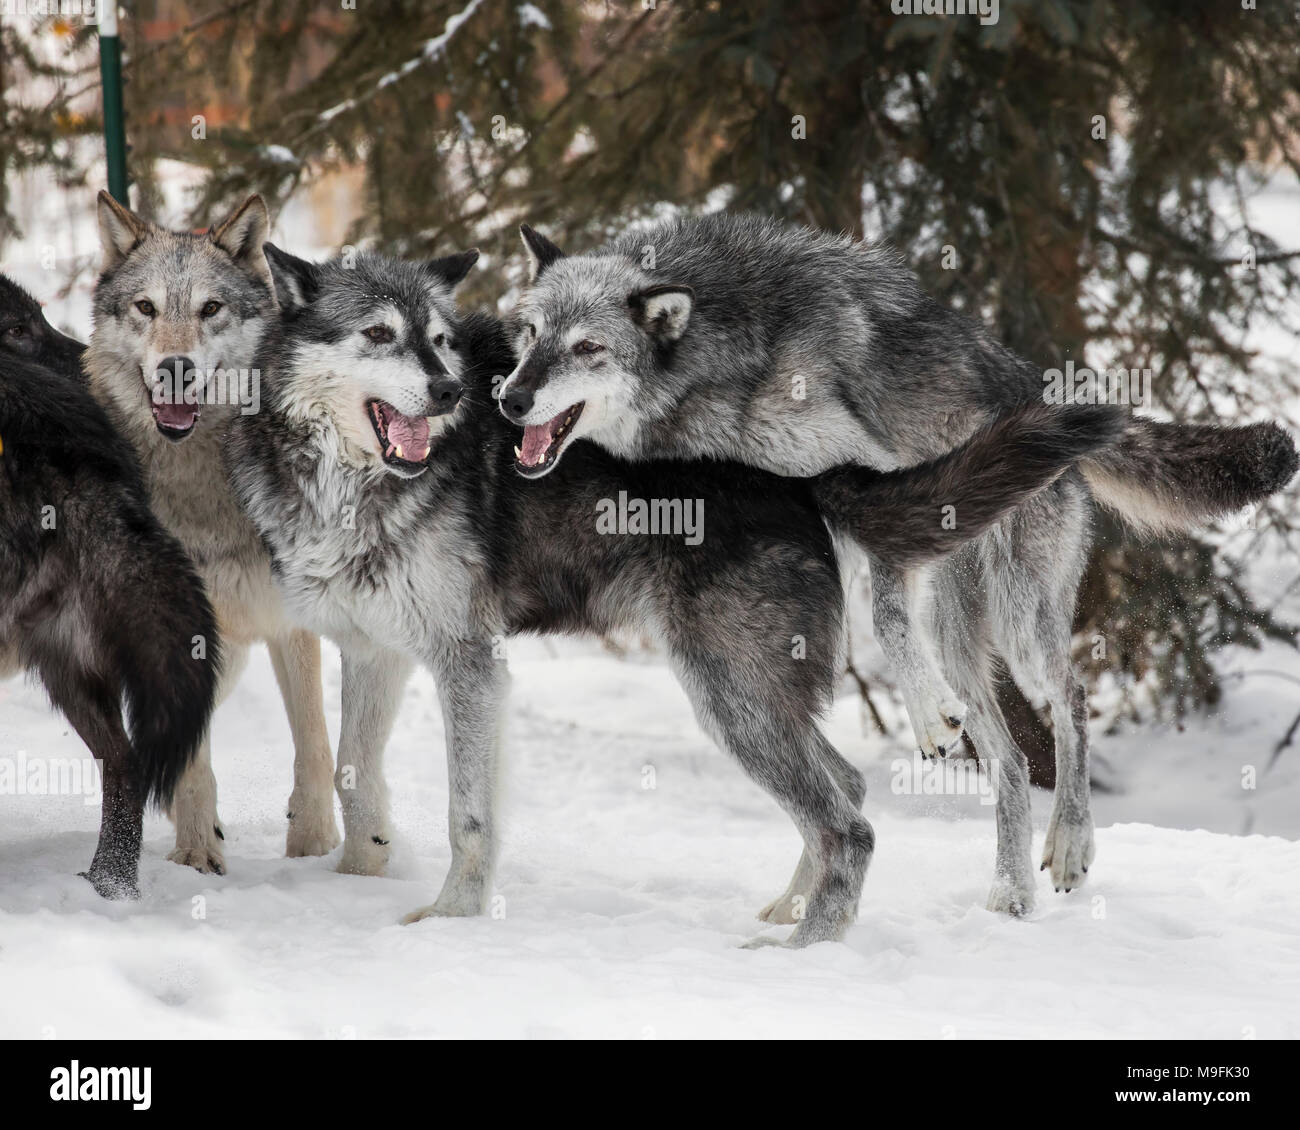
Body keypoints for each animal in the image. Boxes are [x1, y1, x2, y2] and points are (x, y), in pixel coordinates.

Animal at [81, 191, 340, 873]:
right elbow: (193, 759)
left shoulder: (289, 620)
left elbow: (315, 745)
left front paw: (314, 844)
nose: (175, 368)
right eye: (146, 308)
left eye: (211, 308)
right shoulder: (180, 633)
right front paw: (197, 852)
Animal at [223, 244, 1118, 941]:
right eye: (379, 334)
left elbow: (468, 816)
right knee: (851, 790)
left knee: (861, 820)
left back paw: (809, 953)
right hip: (751, 698)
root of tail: (803, 481)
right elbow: (351, 774)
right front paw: (354, 881)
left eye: (440, 342)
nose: (453, 390)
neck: (351, 482)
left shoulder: (466, 663)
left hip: (741, 692)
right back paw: (796, 910)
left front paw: (451, 922)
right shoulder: (373, 649)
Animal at [499, 213, 1300, 915]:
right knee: (1013, 763)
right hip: (959, 633)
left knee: (1070, 700)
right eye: (530, 335)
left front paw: (921, 708)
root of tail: (1035, 389)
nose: (509, 397)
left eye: (588, 348)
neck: (717, 362)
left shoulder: (870, 476)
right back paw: (1011, 890)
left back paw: (1070, 843)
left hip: (1018, 625)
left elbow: (886, 618)